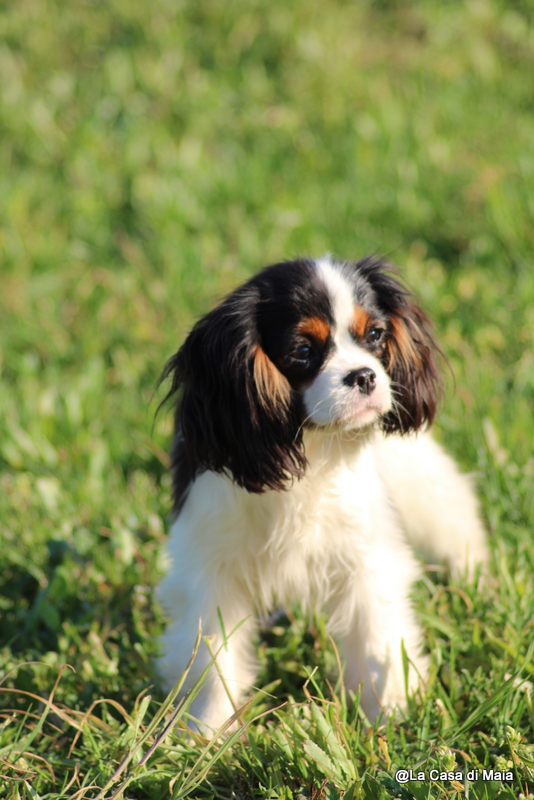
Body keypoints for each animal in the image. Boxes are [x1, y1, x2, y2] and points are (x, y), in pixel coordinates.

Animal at [156, 255, 488, 730]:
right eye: (303, 351)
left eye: (375, 335)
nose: (365, 376)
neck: (312, 450)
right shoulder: (209, 571)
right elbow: (212, 658)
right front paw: (206, 730)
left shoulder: (367, 559)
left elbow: (377, 641)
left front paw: (392, 716)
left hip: (422, 482)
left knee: (453, 518)